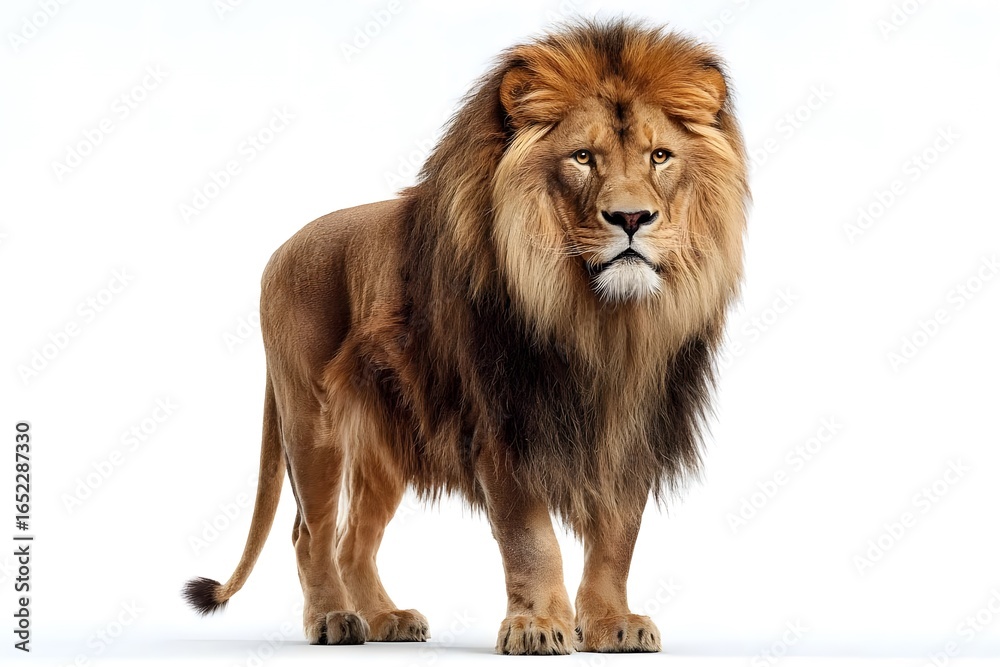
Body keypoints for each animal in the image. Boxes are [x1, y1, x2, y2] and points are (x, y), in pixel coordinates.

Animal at [184, 18, 748, 655]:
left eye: (660, 156)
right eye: (583, 157)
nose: (632, 219)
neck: (598, 321)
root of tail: (280, 248)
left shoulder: (632, 429)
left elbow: (616, 540)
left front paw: (611, 623)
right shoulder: (503, 428)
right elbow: (532, 541)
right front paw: (537, 626)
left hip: (385, 445)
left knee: (355, 539)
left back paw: (387, 619)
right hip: (312, 420)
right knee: (312, 532)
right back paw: (334, 619)